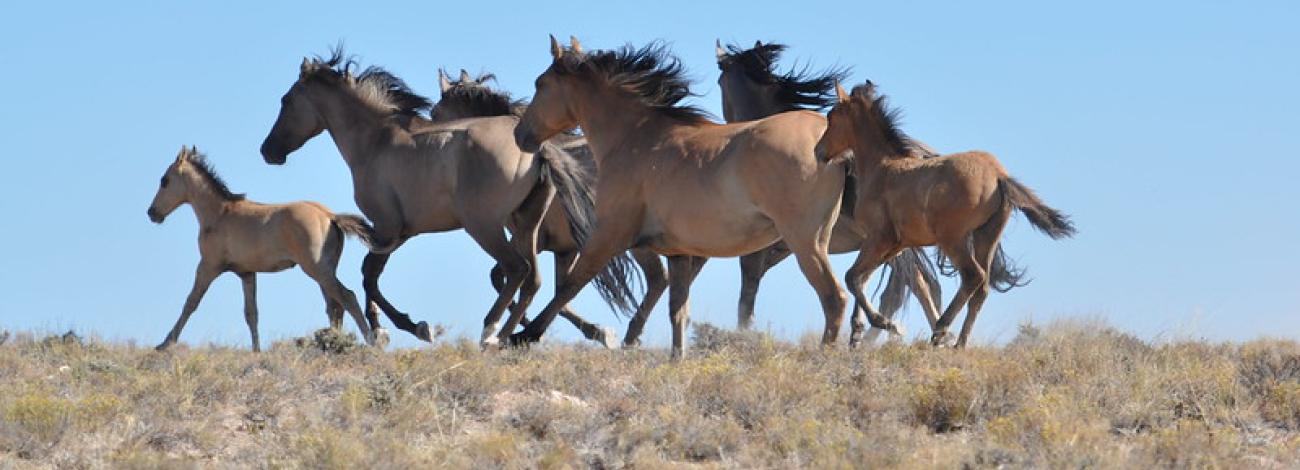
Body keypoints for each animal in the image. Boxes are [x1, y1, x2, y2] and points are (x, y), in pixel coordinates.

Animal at [151, 144, 379, 350]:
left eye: (164, 180)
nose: (152, 212)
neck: (219, 214)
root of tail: (329, 215)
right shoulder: (247, 273)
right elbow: (251, 313)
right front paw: (256, 350)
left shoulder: (208, 266)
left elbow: (191, 302)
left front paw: (165, 343)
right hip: (326, 271)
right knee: (334, 306)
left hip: (316, 269)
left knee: (347, 297)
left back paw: (369, 342)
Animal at [260, 49, 639, 347]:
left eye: (285, 101)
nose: (268, 151)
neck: (376, 140)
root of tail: (537, 148)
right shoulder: (402, 232)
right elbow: (370, 275)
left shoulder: (387, 228)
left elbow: (369, 275)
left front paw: (399, 329)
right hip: (526, 224)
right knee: (532, 279)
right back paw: (511, 337)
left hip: (485, 227)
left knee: (515, 270)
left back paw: (491, 332)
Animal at [514, 38, 894, 358]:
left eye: (539, 84)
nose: (520, 135)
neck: (637, 141)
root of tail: (831, 147)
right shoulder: (680, 252)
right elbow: (678, 309)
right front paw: (676, 359)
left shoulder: (609, 234)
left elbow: (571, 284)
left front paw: (523, 336)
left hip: (805, 240)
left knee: (834, 296)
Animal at [811, 80, 1076, 347]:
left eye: (831, 117)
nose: (818, 151)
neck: (883, 167)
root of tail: (999, 175)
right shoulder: (897, 244)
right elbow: (862, 277)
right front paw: (867, 329)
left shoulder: (880, 237)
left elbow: (852, 276)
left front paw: (885, 324)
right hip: (986, 236)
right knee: (982, 288)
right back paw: (959, 344)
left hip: (953, 239)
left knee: (973, 276)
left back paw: (941, 330)